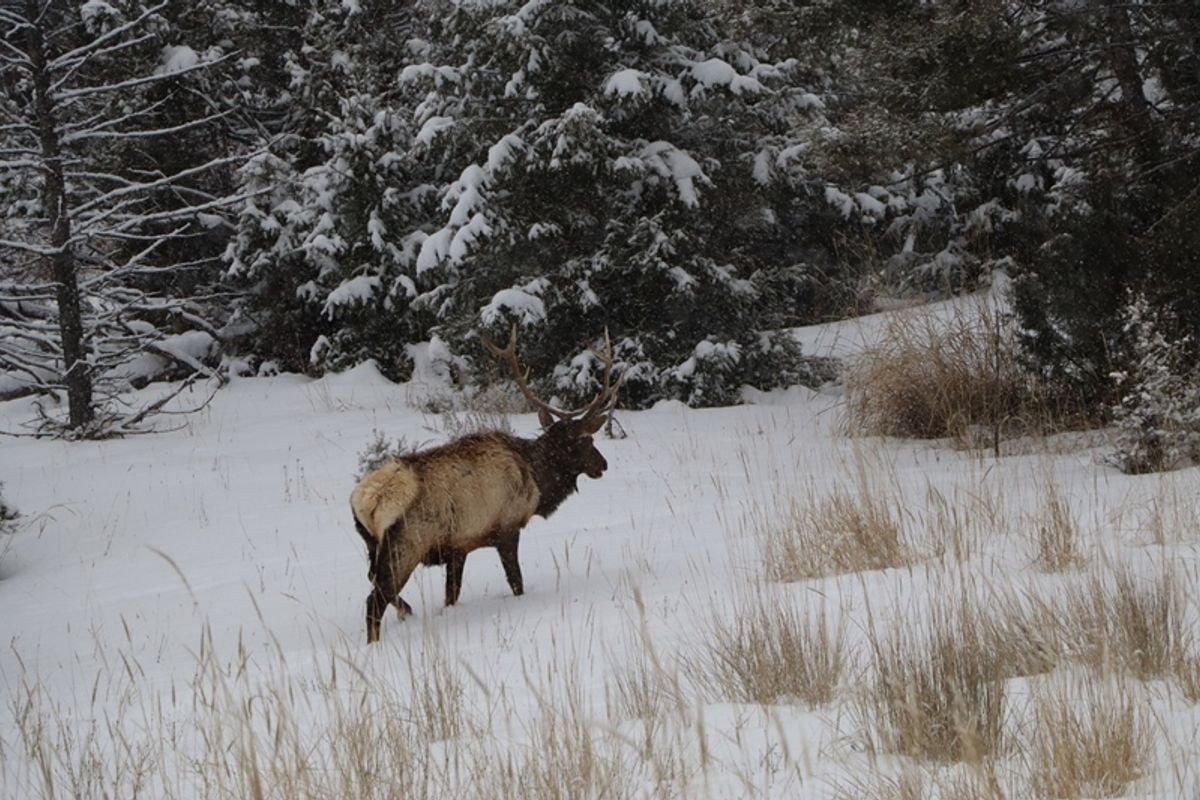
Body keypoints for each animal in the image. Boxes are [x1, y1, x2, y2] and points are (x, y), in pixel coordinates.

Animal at [351, 326, 622, 643]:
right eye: (584, 440)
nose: (602, 464)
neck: (536, 479)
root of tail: (364, 502)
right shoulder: (506, 528)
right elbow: (516, 582)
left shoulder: (458, 547)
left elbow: (451, 595)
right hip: (405, 545)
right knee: (374, 600)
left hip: (372, 545)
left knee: (372, 581)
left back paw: (408, 612)